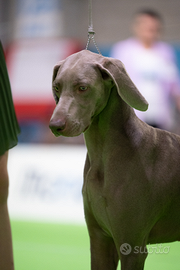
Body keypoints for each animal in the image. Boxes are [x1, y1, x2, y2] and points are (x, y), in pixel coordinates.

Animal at [48, 49, 180, 268]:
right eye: (57, 87)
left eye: (82, 87)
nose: (55, 126)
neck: (103, 157)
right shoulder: (100, 240)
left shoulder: (132, 248)